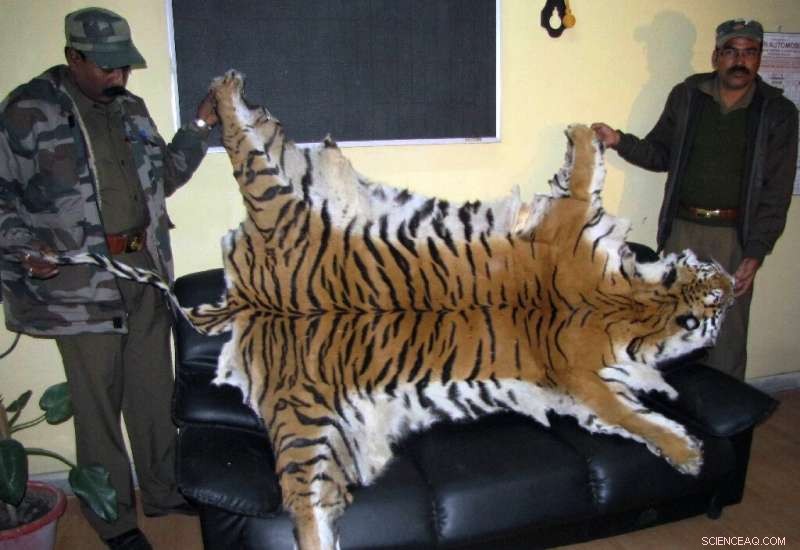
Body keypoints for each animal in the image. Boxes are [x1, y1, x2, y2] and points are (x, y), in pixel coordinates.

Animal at [40, 70, 735, 550]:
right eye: (714, 296)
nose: (734, 279)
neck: (633, 299)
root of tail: (246, 299)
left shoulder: (581, 369)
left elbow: (630, 412)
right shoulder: (573, 312)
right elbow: (632, 413)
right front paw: (688, 454)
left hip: (306, 405)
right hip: (285, 286)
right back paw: (224, 90)